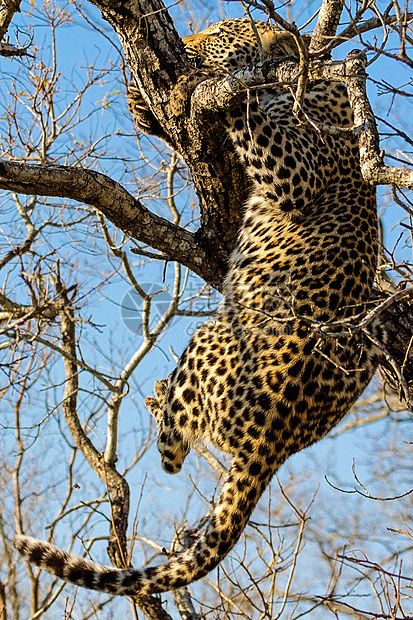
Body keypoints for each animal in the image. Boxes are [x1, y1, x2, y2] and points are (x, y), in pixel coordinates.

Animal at [13, 19, 384, 600]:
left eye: (217, 32)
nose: (186, 48)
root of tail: (273, 443)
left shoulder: (300, 168)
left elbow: (249, 112)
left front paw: (211, 85)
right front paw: (142, 92)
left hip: (213, 336)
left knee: (172, 453)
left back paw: (161, 398)